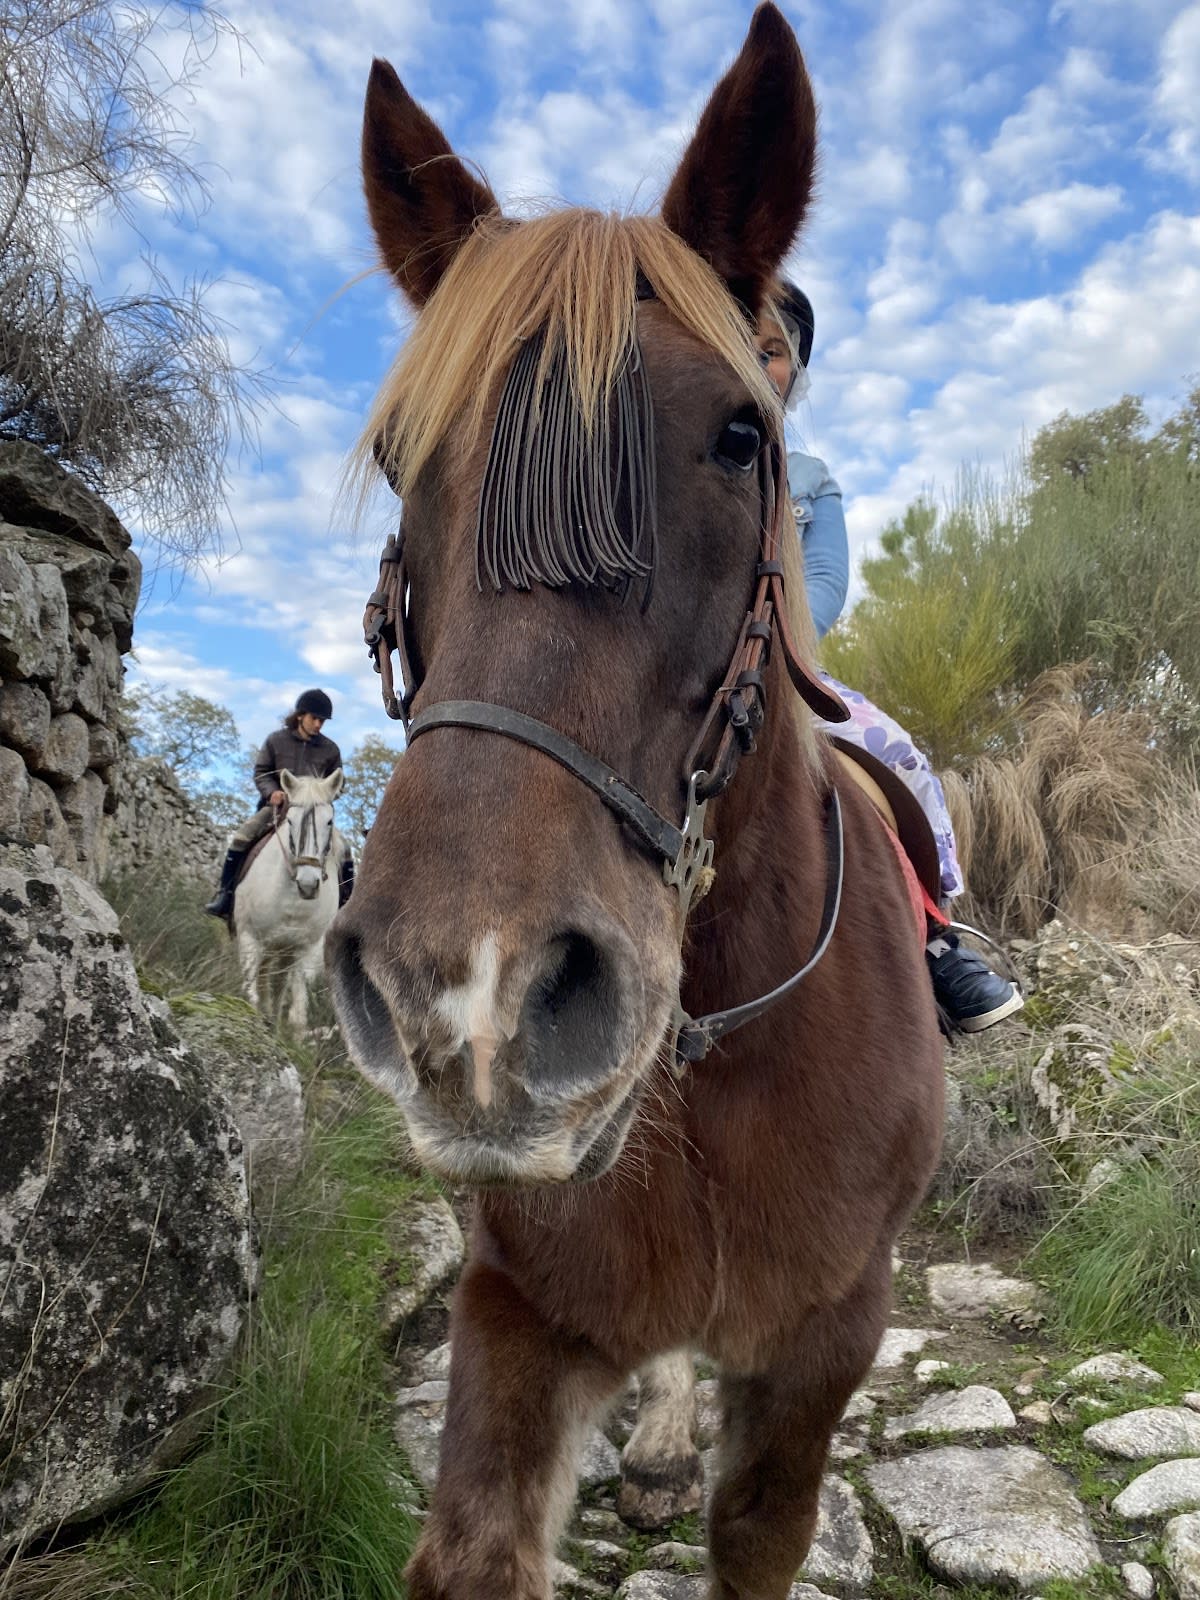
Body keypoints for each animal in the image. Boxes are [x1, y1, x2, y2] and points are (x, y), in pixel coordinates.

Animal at [234, 767, 344, 1032]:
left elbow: (296, 1017)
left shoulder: (305, 952)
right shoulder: (249, 938)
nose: (308, 884)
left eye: (329, 821)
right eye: (291, 821)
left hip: (283, 954)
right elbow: (251, 997)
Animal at [327, 7, 944, 1597]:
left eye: (741, 438)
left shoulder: (823, 1348)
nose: (468, 999)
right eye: (401, 461)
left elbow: (757, 1535)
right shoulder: (520, 1311)